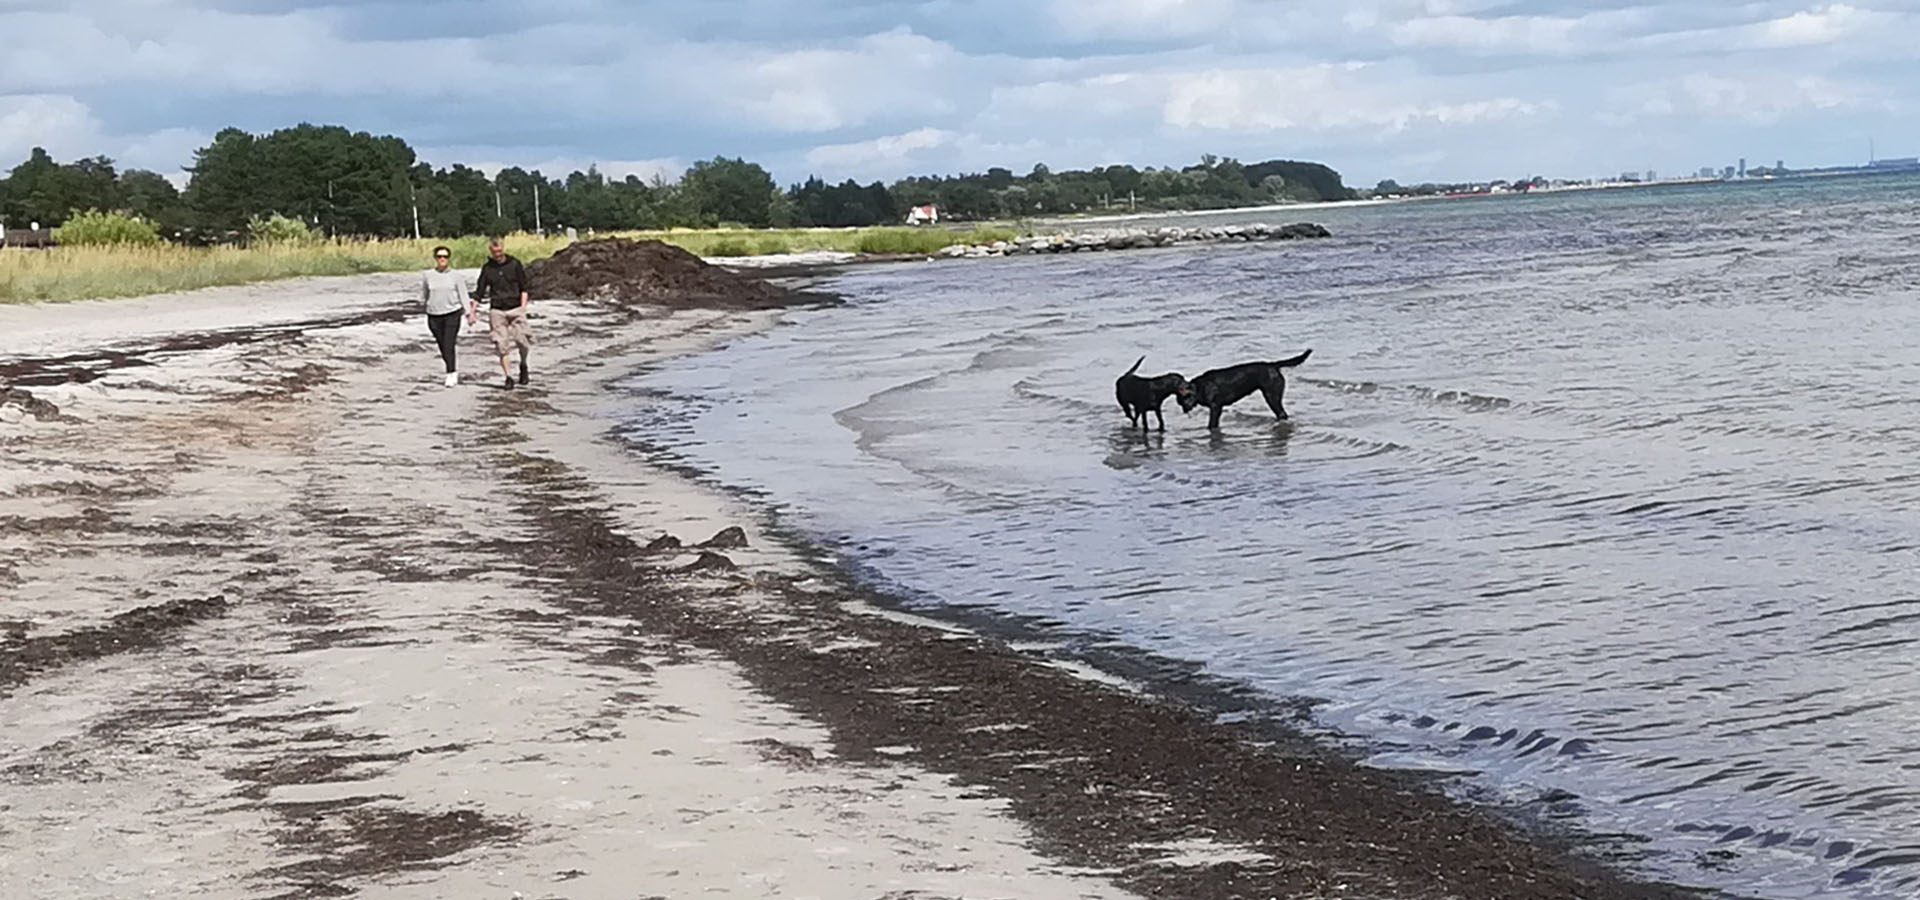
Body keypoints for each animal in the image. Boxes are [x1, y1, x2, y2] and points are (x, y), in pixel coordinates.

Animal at [1175, 347, 1313, 427]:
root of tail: (1273, 365)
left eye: (1184, 399)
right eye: (1180, 402)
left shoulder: (1215, 407)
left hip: (1272, 396)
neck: (1200, 387)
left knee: (1282, 413)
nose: (1185, 410)